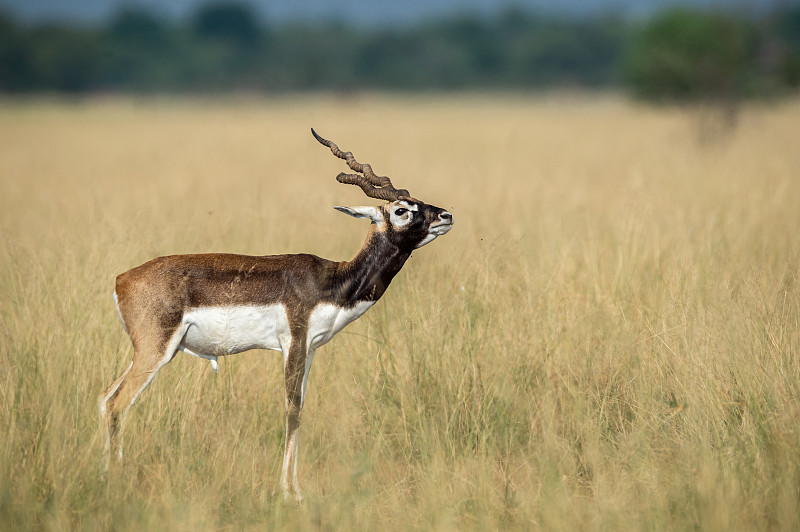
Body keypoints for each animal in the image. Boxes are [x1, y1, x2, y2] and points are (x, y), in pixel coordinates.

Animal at [97, 129, 454, 502]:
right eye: (401, 210)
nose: (446, 216)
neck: (332, 280)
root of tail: (122, 279)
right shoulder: (293, 343)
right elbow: (292, 409)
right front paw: (287, 493)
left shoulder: (310, 350)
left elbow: (302, 407)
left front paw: (296, 488)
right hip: (156, 349)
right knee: (117, 403)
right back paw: (115, 481)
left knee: (105, 398)